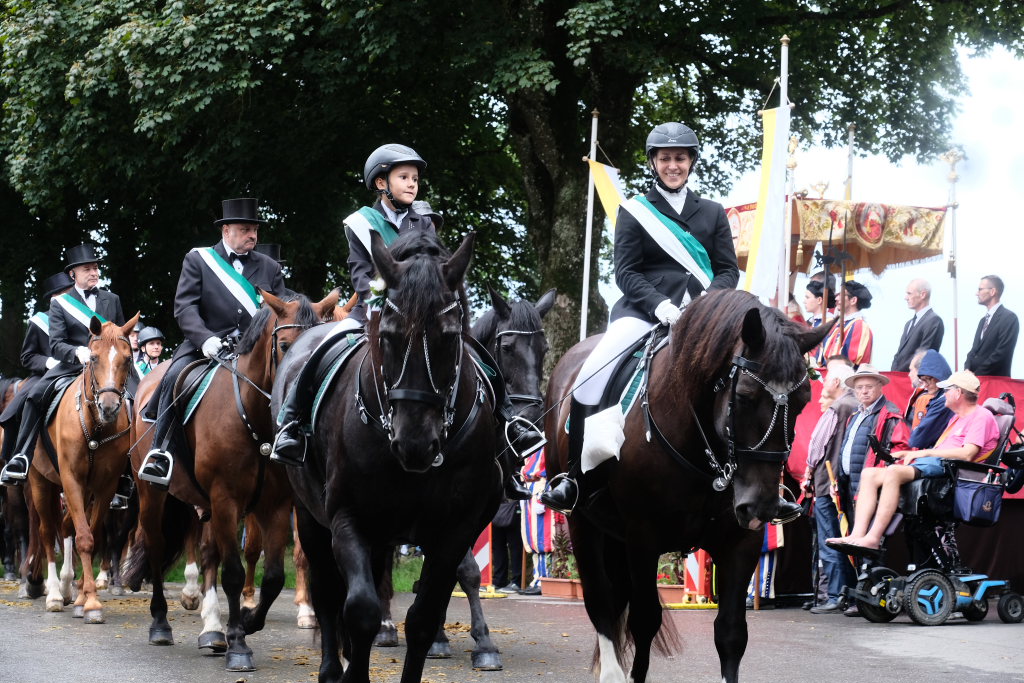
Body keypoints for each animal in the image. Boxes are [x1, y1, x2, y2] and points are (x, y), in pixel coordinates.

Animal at [24, 314, 140, 622]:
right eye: (94, 358)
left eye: (127, 359)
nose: (109, 407)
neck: (95, 426)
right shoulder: (71, 479)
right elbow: (85, 538)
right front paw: (90, 603)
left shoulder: (105, 486)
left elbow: (91, 535)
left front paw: (85, 598)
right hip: (41, 483)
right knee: (46, 531)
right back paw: (53, 593)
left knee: (65, 526)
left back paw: (67, 588)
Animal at [124, 290, 336, 672]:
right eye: (285, 345)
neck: (256, 419)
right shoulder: (226, 500)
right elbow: (234, 574)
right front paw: (239, 644)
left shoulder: (276, 507)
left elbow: (273, 577)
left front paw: (249, 622)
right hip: (153, 495)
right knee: (157, 546)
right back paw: (161, 623)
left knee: (208, 553)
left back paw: (212, 629)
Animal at [276, 230, 502, 683]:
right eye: (388, 336)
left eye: (450, 336)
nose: (415, 444)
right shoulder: (347, 518)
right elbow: (359, 610)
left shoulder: (454, 531)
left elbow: (423, 619)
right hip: (310, 518)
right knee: (327, 593)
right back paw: (331, 667)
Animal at [545, 289, 832, 683]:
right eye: (743, 396)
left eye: (804, 401)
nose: (760, 508)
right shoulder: (643, 536)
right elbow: (644, 620)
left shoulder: (741, 541)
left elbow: (730, 632)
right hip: (582, 523)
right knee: (601, 600)